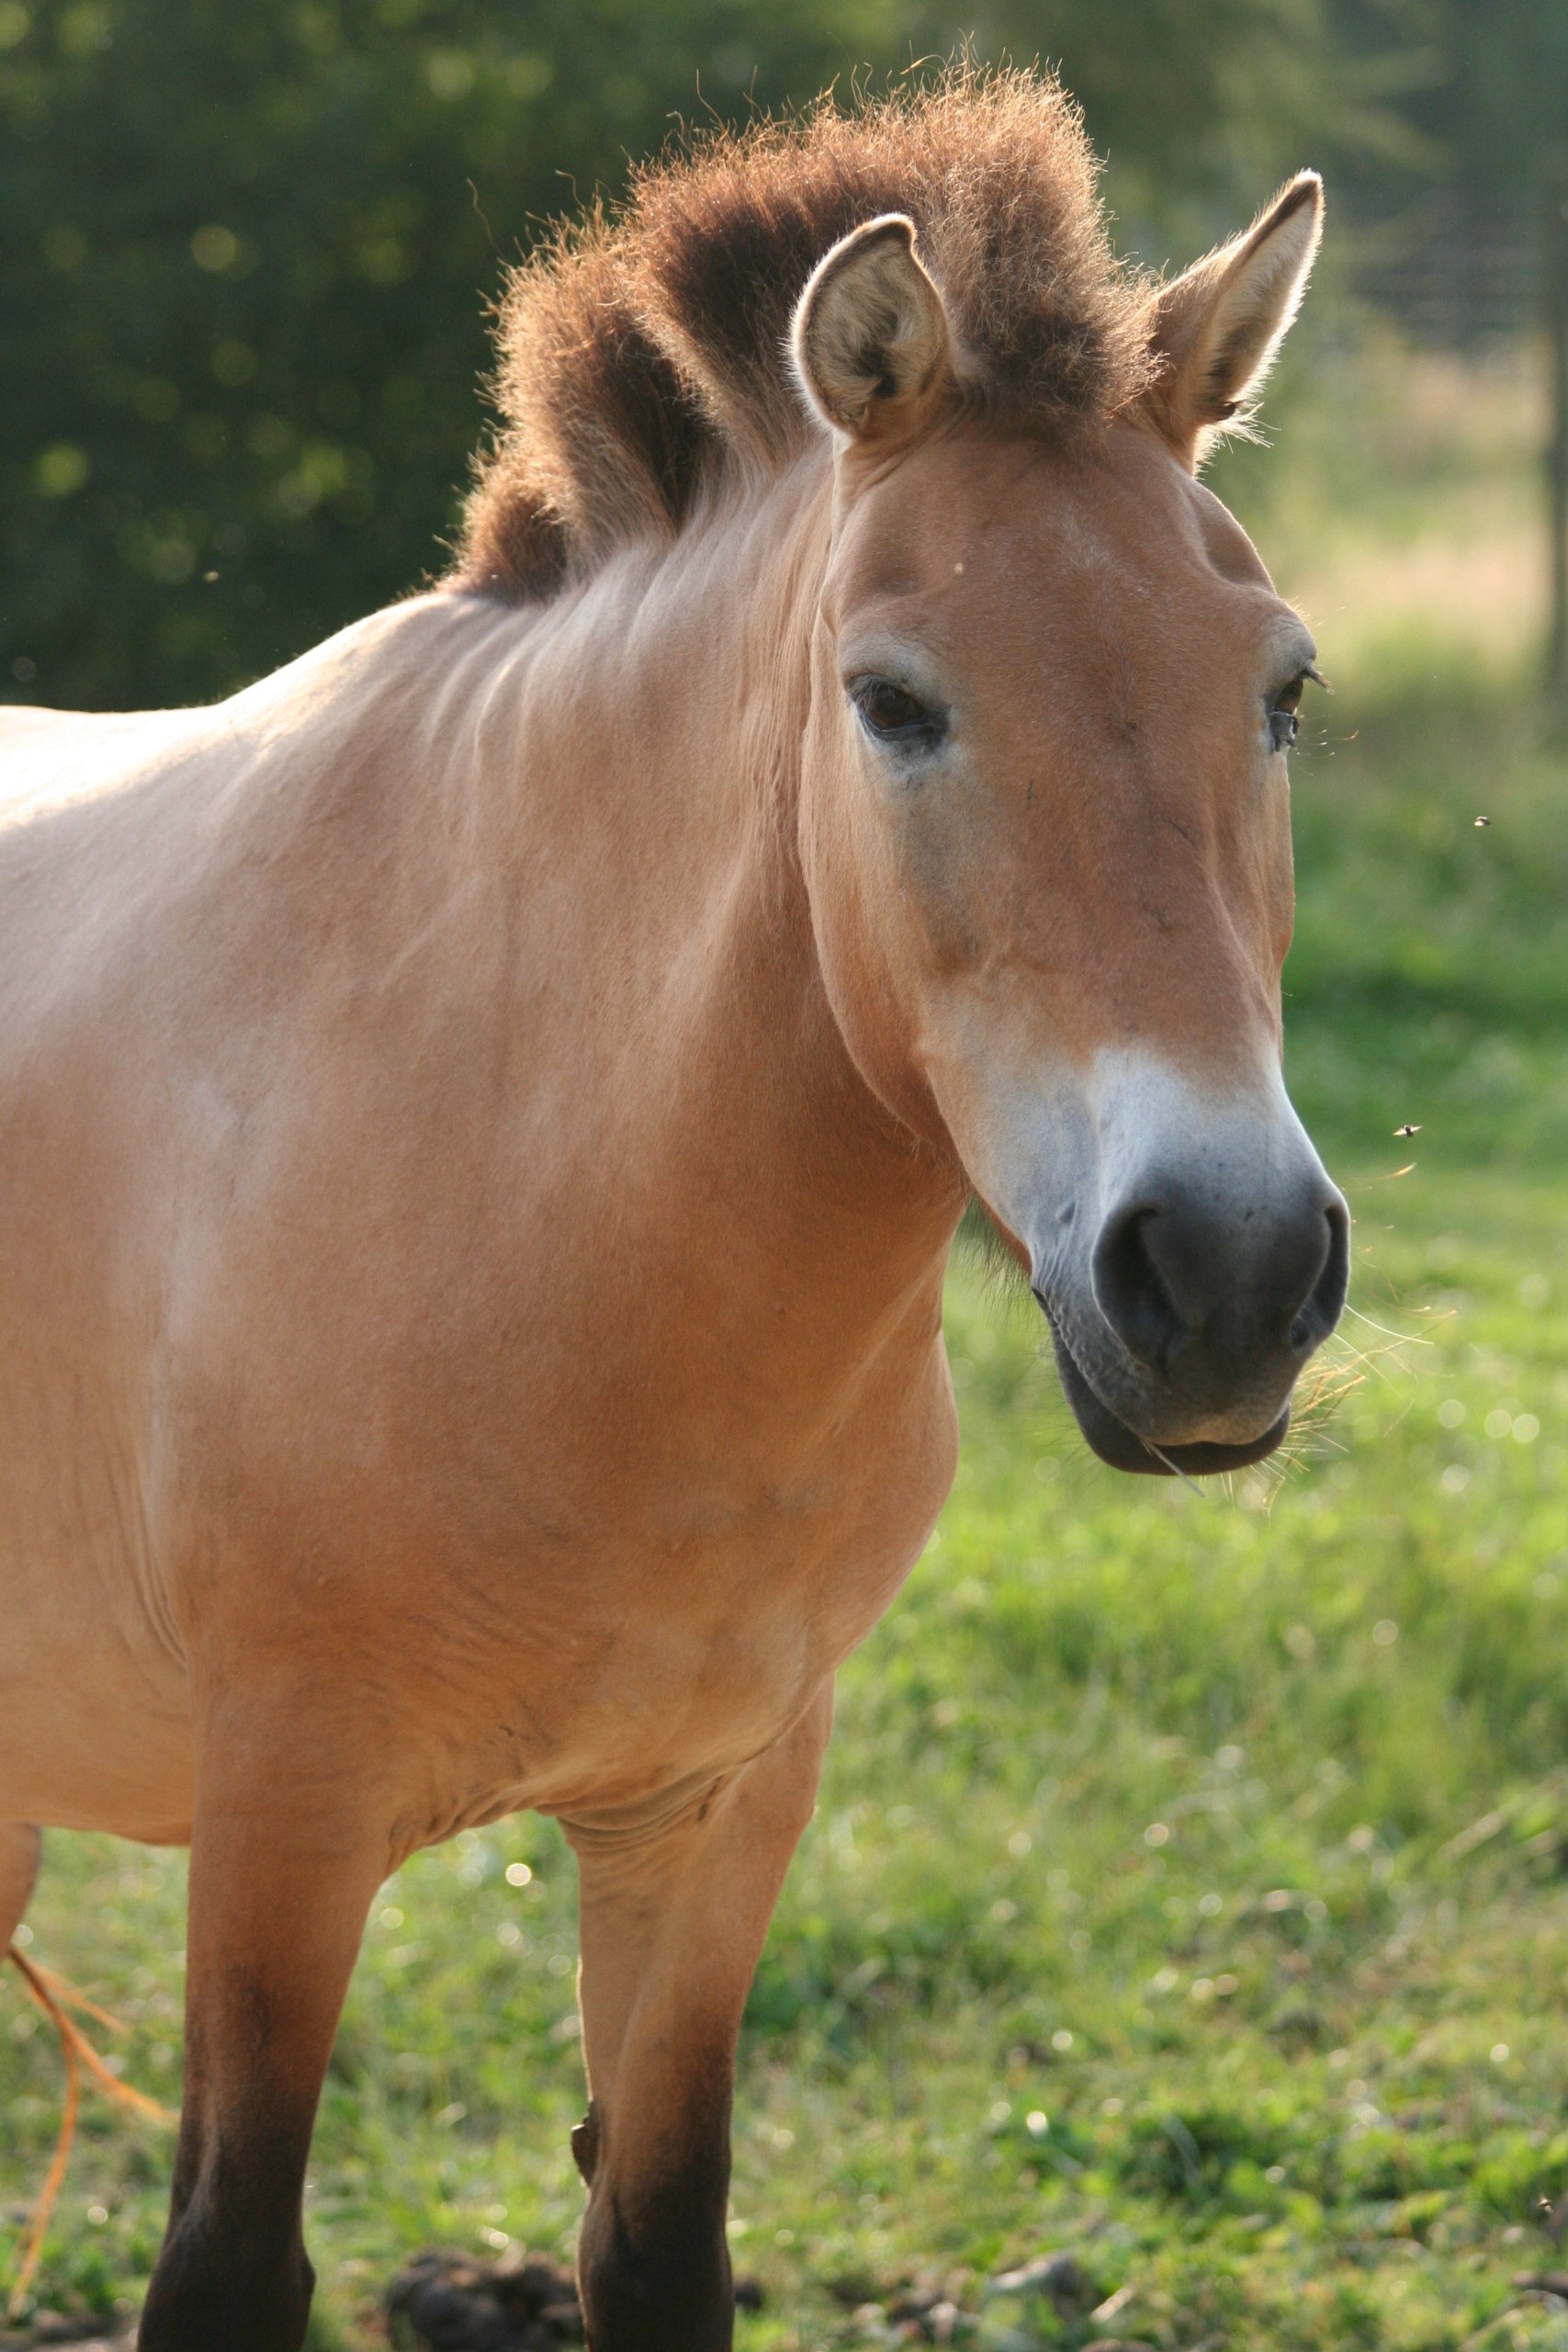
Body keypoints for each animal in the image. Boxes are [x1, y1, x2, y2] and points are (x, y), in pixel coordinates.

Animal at [0, 74, 1354, 2352]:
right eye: (890, 700)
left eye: (1278, 688)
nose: (1228, 1273)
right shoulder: (279, 1822)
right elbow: (229, 2257)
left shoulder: (709, 1812)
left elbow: (656, 2240)